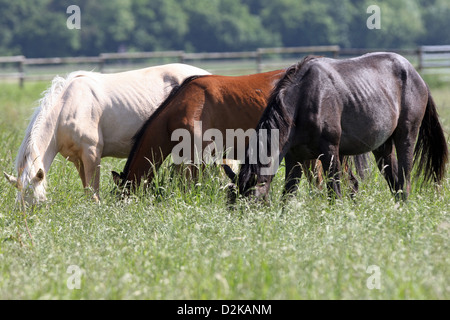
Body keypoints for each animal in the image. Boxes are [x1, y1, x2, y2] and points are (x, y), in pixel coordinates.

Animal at [3, 63, 211, 206]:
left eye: (36, 202)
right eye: (19, 205)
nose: (28, 224)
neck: (66, 107)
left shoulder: (92, 154)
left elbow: (93, 193)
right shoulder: (78, 159)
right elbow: (87, 189)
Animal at [225, 53, 446, 202]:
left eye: (249, 202)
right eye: (231, 203)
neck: (303, 100)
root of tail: (417, 75)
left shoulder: (330, 152)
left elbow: (335, 193)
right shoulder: (294, 158)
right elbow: (287, 195)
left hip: (406, 137)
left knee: (405, 179)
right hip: (382, 147)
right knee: (395, 183)